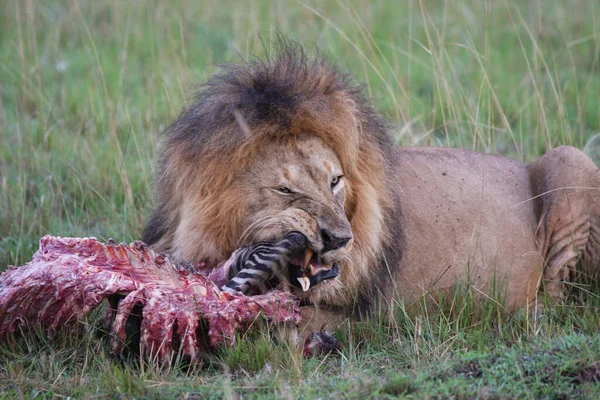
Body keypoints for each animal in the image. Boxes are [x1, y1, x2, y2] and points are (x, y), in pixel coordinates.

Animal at [143, 43, 600, 334]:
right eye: (285, 190)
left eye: (335, 180)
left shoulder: (370, 316)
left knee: (557, 299)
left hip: (571, 160)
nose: (339, 239)